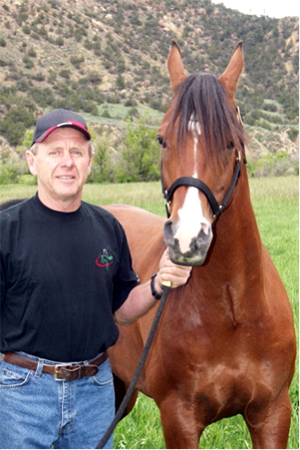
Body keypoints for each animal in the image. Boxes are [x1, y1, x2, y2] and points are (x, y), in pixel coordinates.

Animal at [104, 40, 296, 448]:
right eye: (162, 139)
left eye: (230, 141)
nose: (187, 239)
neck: (234, 311)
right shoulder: (179, 419)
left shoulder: (272, 413)